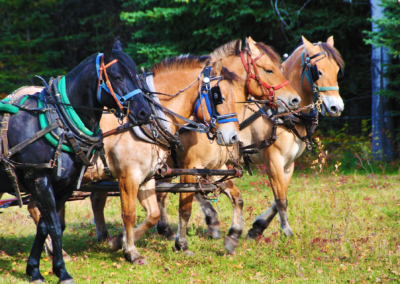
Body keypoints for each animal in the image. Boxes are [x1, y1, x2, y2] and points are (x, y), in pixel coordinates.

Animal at [0, 38, 152, 284]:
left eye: (135, 75)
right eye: (117, 77)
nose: (143, 112)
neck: (58, 121)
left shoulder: (65, 185)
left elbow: (45, 226)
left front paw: (34, 270)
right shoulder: (39, 179)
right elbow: (54, 225)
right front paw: (62, 272)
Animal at [92, 36, 302, 255]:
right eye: (269, 70)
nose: (294, 99)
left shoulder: (216, 167)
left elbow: (237, 197)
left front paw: (232, 236)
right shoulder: (190, 167)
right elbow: (186, 207)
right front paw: (182, 243)